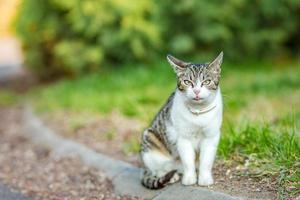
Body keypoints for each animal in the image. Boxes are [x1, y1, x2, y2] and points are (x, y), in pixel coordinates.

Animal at [141, 51, 223, 189]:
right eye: (187, 82)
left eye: (206, 82)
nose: (196, 90)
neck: (198, 113)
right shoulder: (183, 138)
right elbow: (188, 161)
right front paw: (189, 179)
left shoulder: (211, 137)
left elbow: (206, 161)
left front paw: (204, 178)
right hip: (149, 141)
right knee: (157, 169)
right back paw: (170, 175)